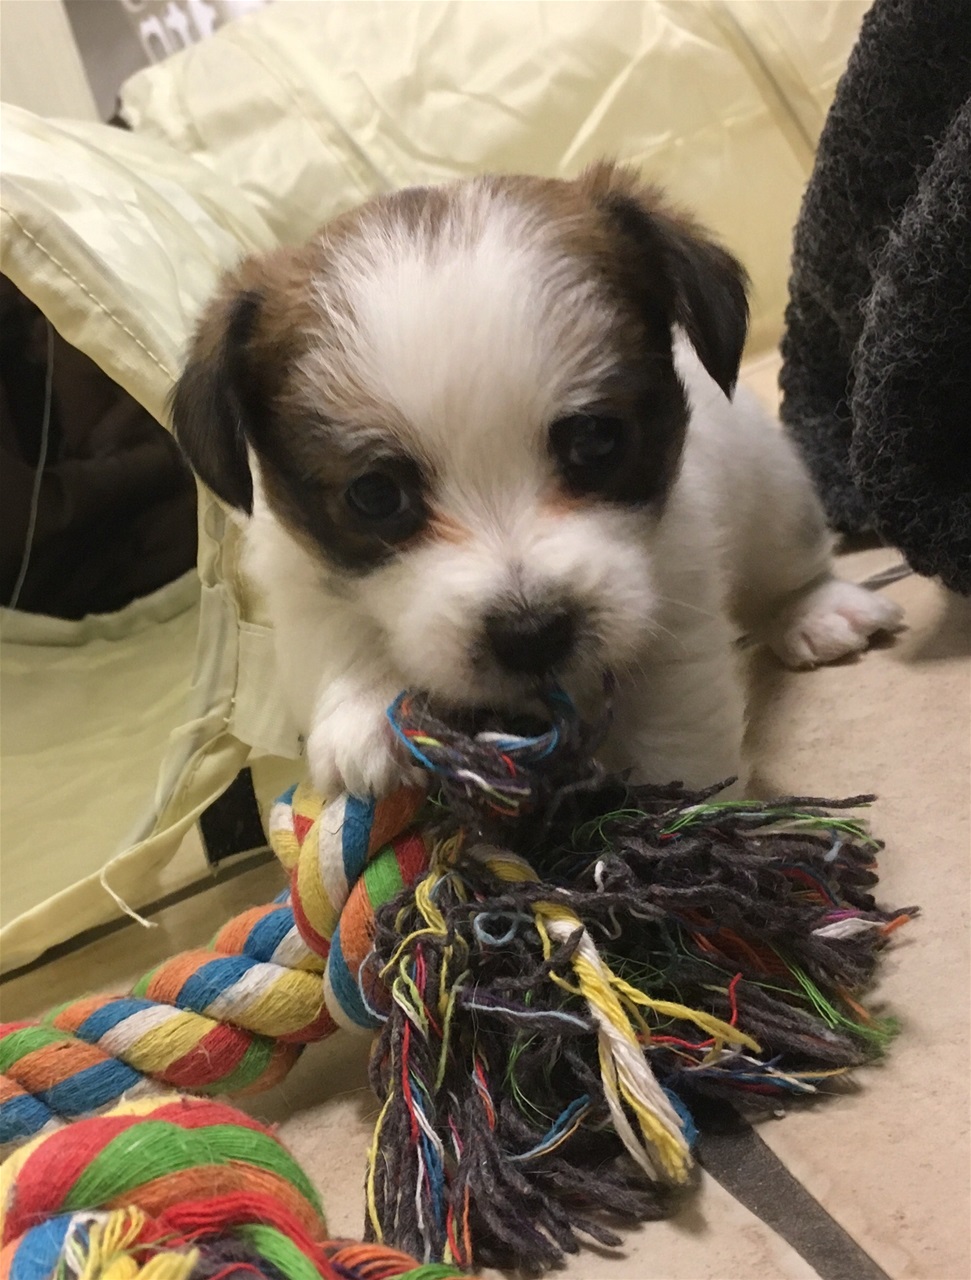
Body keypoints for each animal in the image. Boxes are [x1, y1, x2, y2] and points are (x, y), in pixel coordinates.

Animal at [171, 162, 904, 799]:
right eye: (375, 495)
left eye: (595, 441)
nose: (532, 634)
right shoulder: (297, 579)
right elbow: (336, 628)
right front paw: (367, 712)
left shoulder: (675, 612)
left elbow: (677, 747)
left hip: (774, 495)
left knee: (789, 564)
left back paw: (815, 609)